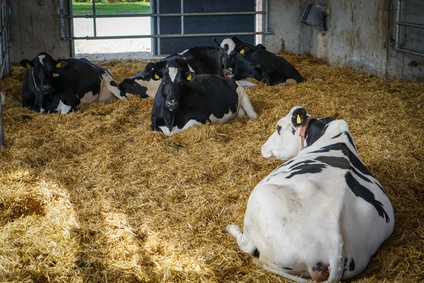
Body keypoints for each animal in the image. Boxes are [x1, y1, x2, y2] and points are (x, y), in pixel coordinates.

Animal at [227, 107, 396, 283]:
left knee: (248, 246)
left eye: (279, 127)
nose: (262, 147)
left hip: (259, 200)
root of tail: (336, 245)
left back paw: (232, 229)